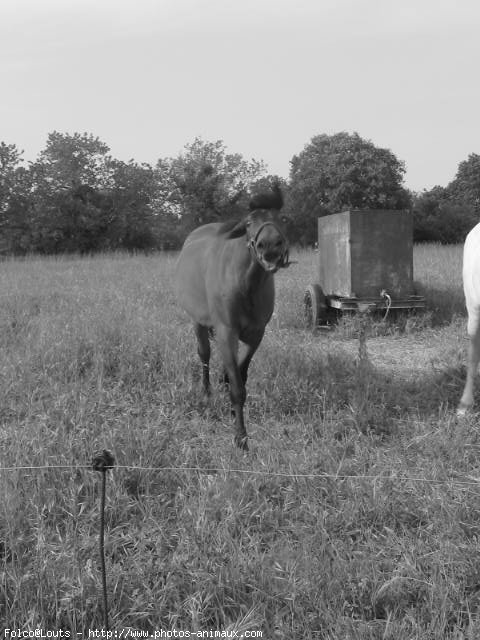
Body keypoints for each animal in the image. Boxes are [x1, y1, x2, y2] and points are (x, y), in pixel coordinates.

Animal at [175, 181, 288, 450]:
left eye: (282, 218)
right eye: (248, 222)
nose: (270, 245)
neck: (245, 284)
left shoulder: (257, 333)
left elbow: (241, 372)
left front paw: (229, 392)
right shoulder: (227, 332)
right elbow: (238, 388)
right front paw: (241, 437)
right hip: (198, 323)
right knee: (204, 355)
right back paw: (206, 392)